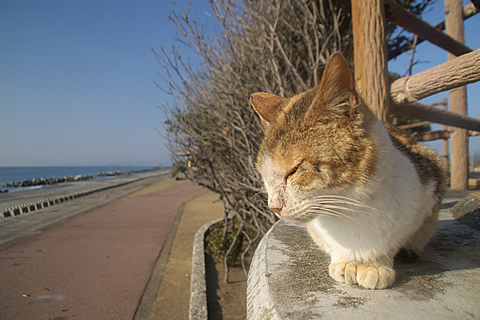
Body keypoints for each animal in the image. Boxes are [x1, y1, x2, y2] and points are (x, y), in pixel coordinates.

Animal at [251, 52, 446, 290]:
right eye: (264, 176)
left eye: (294, 170)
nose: (273, 207)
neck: (348, 208)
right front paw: (344, 262)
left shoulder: (429, 185)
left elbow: (393, 242)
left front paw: (375, 266)